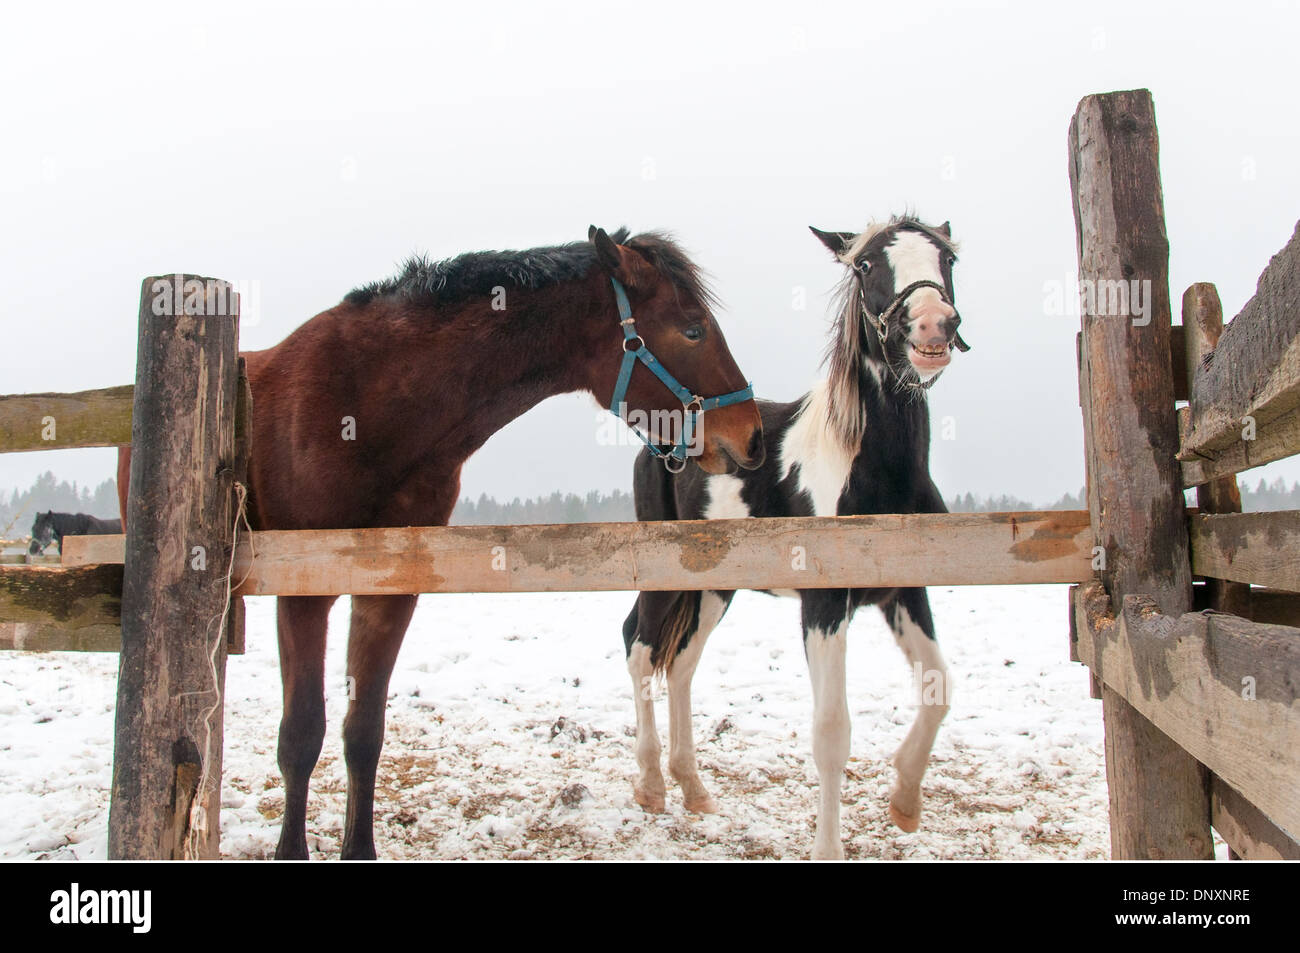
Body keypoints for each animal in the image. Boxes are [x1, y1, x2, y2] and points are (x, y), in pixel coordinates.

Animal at [117, 226, 765, 859]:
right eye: (693, 328)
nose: (753, 437)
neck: (368, 407)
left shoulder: (390, 591)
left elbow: (363, 733)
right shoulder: (304, 591)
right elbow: (301, 735)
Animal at [620, 216, 968, 860]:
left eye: (948, 258)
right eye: (866, 266)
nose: (935, 325)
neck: (873, 468)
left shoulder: (905, 591)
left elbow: (938, 690)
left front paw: (905, 800)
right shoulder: (824, 605)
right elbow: (831, 733)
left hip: (715, 590)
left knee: (680, 665)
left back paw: (693, 788)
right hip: (665, 578)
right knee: (639, 648)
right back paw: (652, 784)